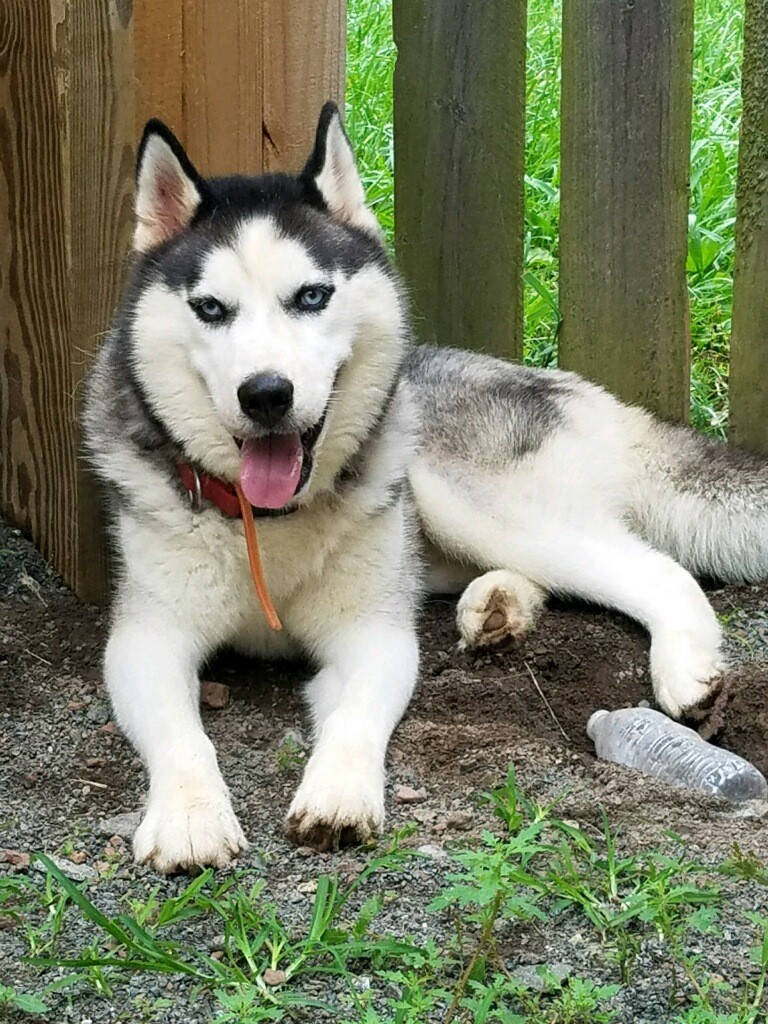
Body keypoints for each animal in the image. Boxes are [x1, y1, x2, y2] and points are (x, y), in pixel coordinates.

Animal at [83, 103, 768, 872]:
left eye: (311, 296)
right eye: (209, 308)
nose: (266, 393)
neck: (272, 520)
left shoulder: (372, 635)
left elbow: (354, 718)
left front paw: (338, 794)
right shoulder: (147, 638)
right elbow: (181, 733)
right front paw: (190, 816)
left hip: (461, 492)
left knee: (659, 571)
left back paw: (682, 667)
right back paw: (498, 607)